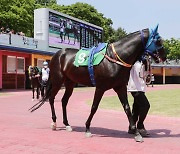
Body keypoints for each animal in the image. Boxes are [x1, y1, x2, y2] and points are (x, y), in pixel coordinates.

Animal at [29, 25, 166, 142]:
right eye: (158, 41)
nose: (164, 57)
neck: (114, 59)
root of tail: (56, 55)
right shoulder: (100, 87)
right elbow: (94, 107)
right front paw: (87, 128)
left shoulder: (120, 87)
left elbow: (127, 108)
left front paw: (136, 133)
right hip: (58, 81)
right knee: (51, 98)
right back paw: (54, 122)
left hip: (70, 82)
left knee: (64, 101)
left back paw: (67, 124)